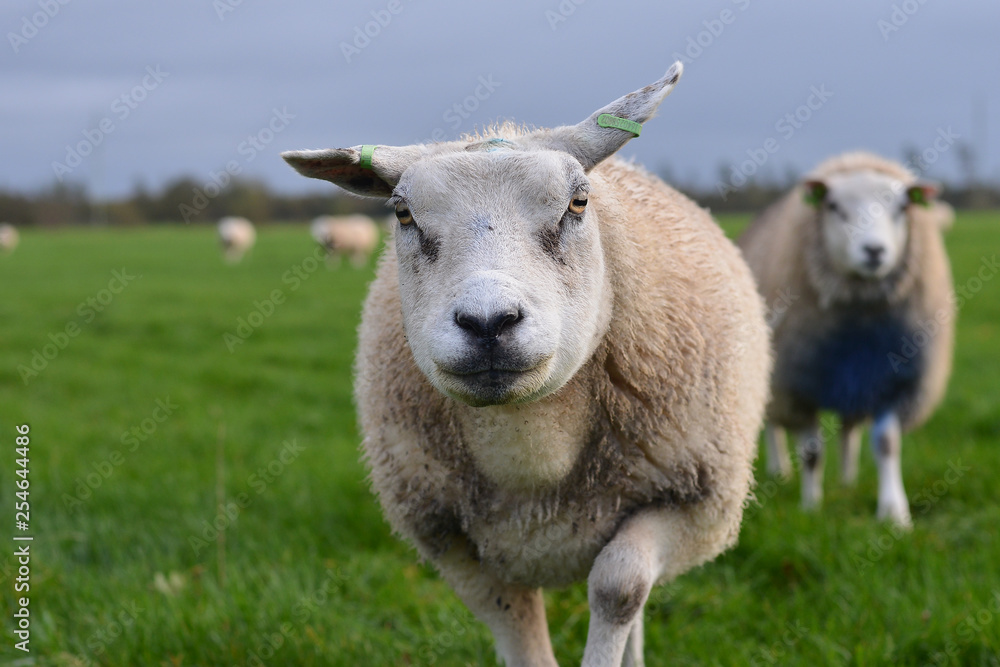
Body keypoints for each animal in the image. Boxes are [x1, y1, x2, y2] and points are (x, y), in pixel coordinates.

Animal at [282, 62, 771, 667]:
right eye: (402, 212)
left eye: (578, 203)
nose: (488, 322)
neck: (533, 450)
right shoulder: (450, 540)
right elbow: (514, 621)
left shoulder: (695, 505)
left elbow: (620, 587)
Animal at [738, 151, 954, 527]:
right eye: (834, 206)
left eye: (902, 207)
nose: (874, 250)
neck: (860, 315)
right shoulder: (798, 386)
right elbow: (811, 453)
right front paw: (811, 507)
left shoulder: (891, 379)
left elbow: (886, 444)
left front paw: (894, 513)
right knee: (773, 426)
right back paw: (780, 471)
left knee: (848, 429)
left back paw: (848, 479)